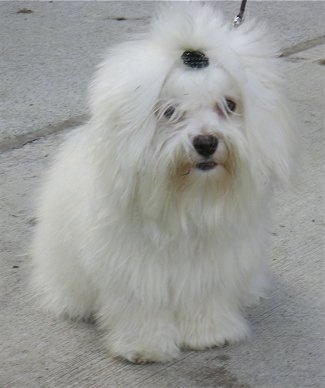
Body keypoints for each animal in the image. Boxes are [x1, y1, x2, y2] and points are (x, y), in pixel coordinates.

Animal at [31, 3, 294, 364]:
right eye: (169, 111)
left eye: (229, 105)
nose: (206, 142)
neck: (189, 199)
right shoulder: (134, 268)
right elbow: (142, 304)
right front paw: (144, 345)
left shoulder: (211, 267)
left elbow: (205, 298)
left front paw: (209, 333)